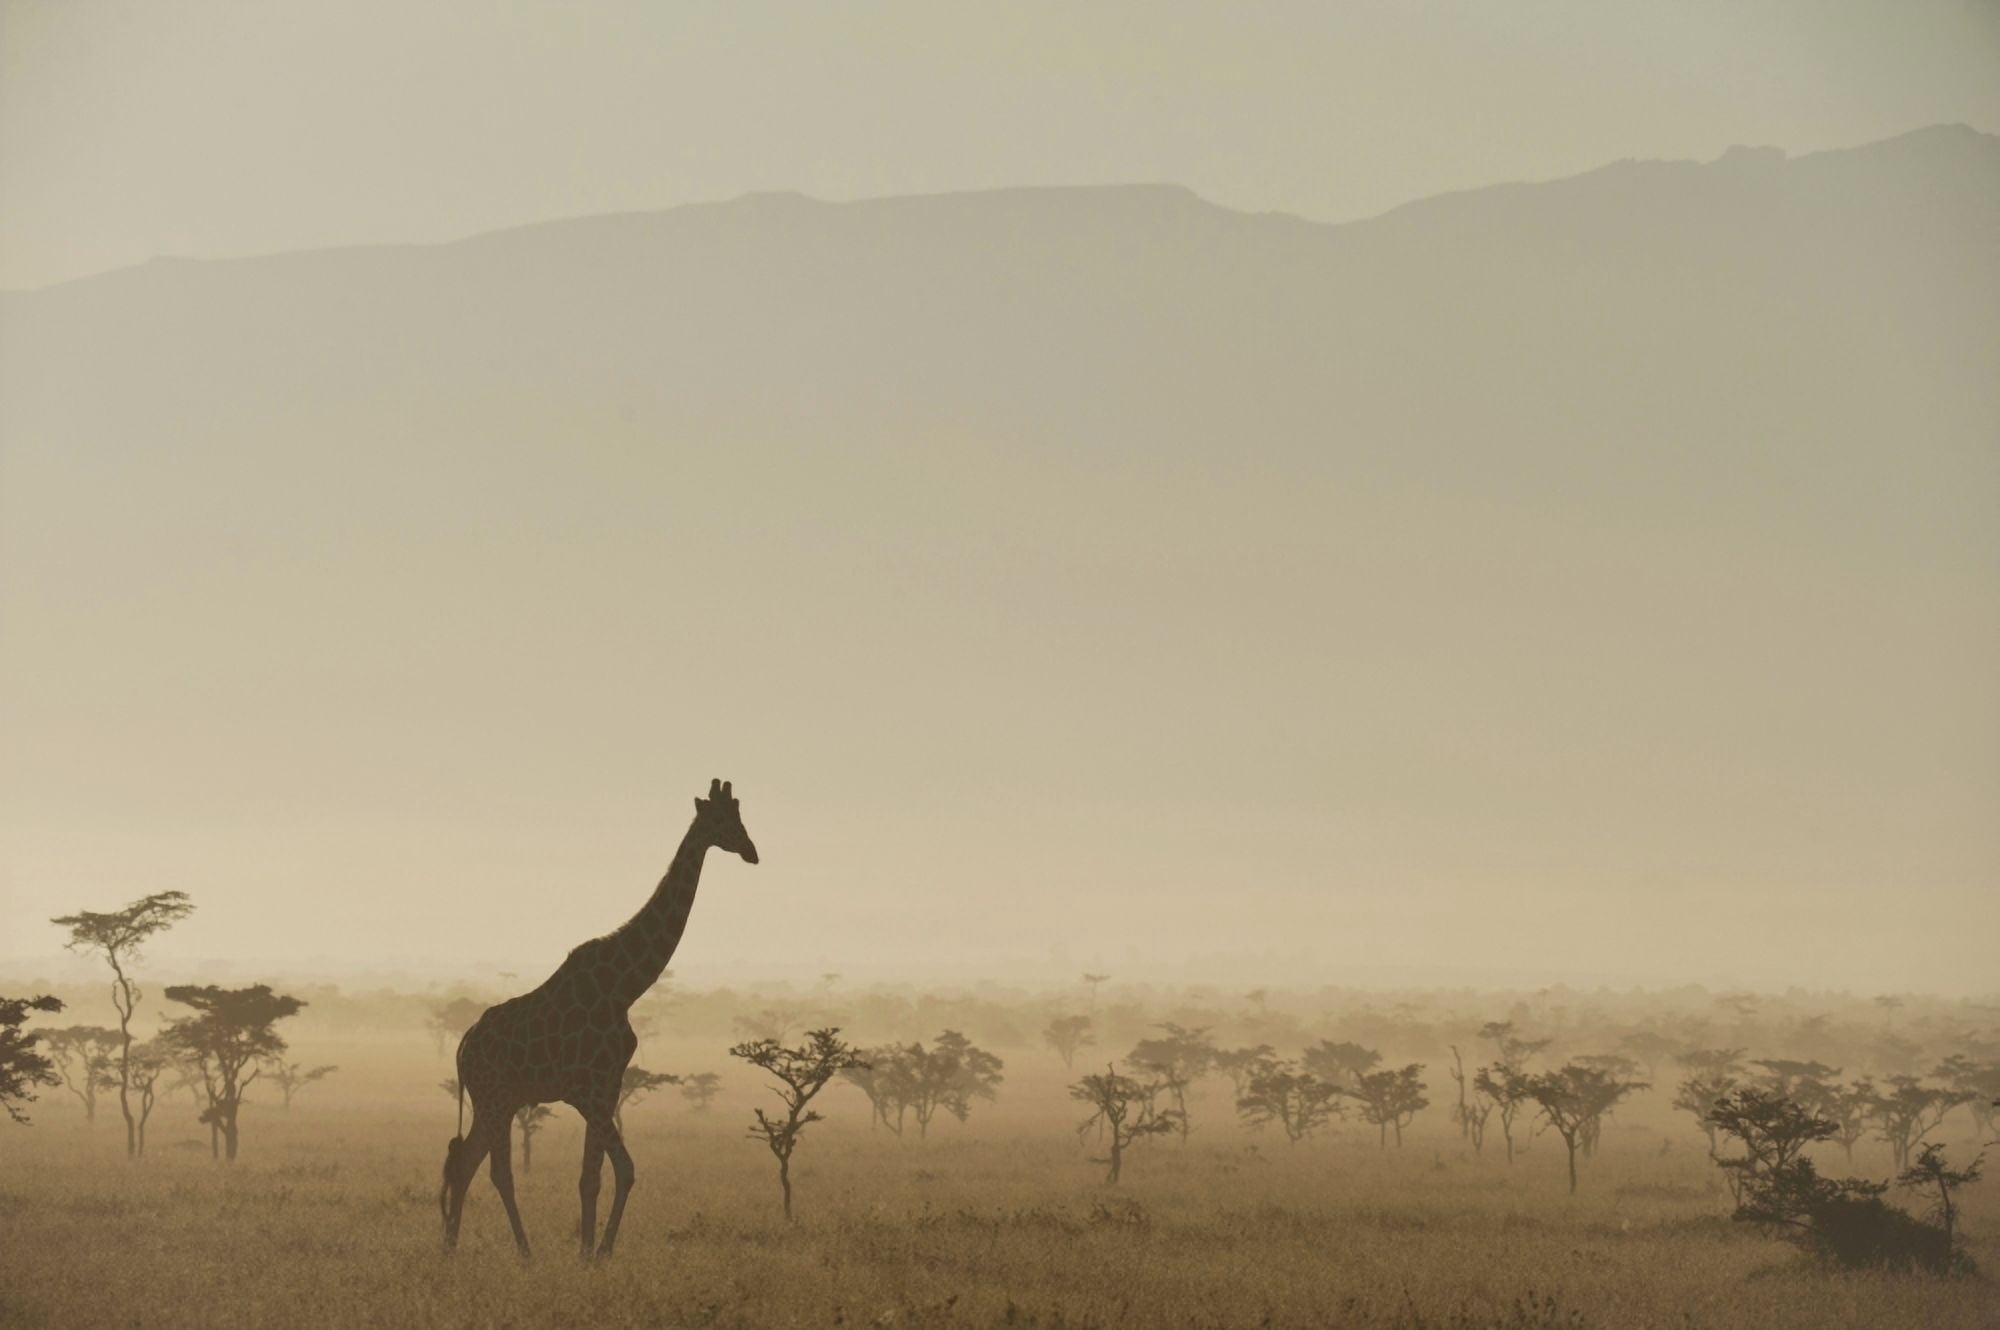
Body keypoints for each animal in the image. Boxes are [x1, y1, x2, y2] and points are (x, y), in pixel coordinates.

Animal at [439, 778, 758, 1257]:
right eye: (720, 819)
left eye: (739, 815)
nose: (751, 851)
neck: (624, 988)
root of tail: (463, 1045)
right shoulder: (583, 1090)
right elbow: (624, 1168)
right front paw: (601, 1252)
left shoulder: (608, 1085)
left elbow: (592, 1178)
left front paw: (587, 1254)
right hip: (493, 1097)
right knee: (497, 1172)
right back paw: (525, 1255)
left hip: (499, 1099)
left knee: (464, 1162)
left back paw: (451, 1249)